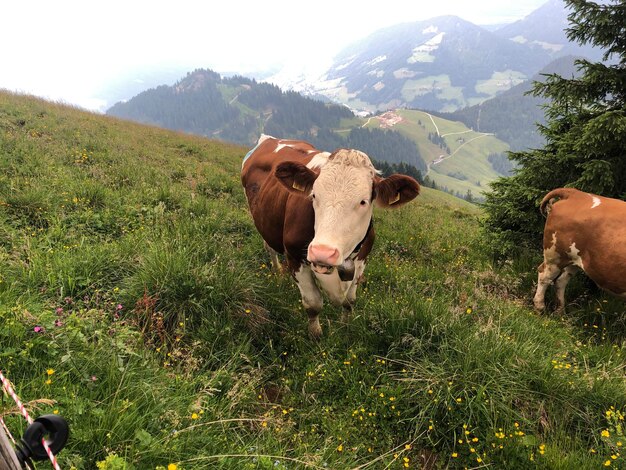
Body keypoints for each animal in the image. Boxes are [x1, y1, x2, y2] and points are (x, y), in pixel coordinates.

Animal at [239, 135, 420, 338]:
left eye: (363, 201)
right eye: (314, 195)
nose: (322, 253)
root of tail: (270, 138)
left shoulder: (362, 260)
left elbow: (349, 301)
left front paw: (345, 327)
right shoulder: (295, 256)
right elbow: (313, 304)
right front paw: (315, 336)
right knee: (269, 247)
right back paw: (277, 271)